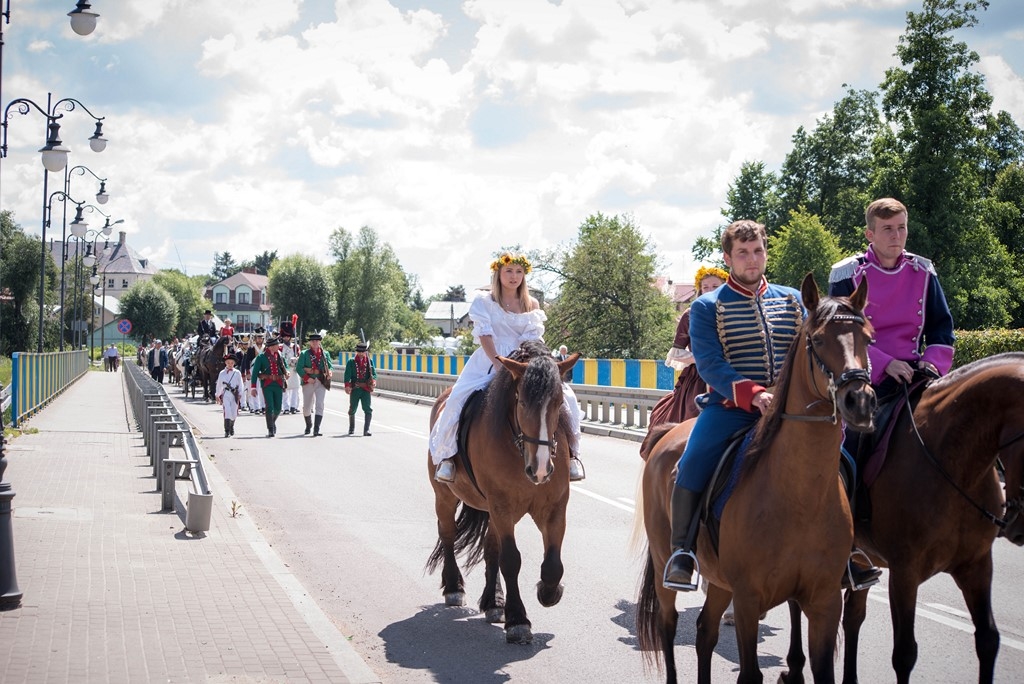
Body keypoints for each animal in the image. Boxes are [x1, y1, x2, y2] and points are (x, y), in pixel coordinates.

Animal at [425, 339, 579, 644]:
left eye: (559, 403)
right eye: (521, 401)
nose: (541, 469)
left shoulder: (555, 507)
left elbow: (552, 562)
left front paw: (548, 591)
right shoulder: (501, 506)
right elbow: (511, 559)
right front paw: (518, 619)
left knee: (490, 547)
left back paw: (494, 602)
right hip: (446, 497)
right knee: (448, 534)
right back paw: (454, 587)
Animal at [635, 273, 876, 684]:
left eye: (869, 339)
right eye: (817, 340)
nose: (859, 401)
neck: (801, 496)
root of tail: (668, 432)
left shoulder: (825, 599)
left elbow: (823, 668)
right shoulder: (749, 598)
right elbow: (749, 673)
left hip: (719, 580)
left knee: (705, 632)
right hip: (668, 558)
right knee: (668, 624)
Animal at [780, 351, 1024, 684]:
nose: (1019, 527)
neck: (954, 460)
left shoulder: (977, 565)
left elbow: (988, 640)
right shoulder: (905, 572)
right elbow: (905, 653)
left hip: (861, 558)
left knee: (853, 616)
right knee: (796, 602)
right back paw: (794, 667)